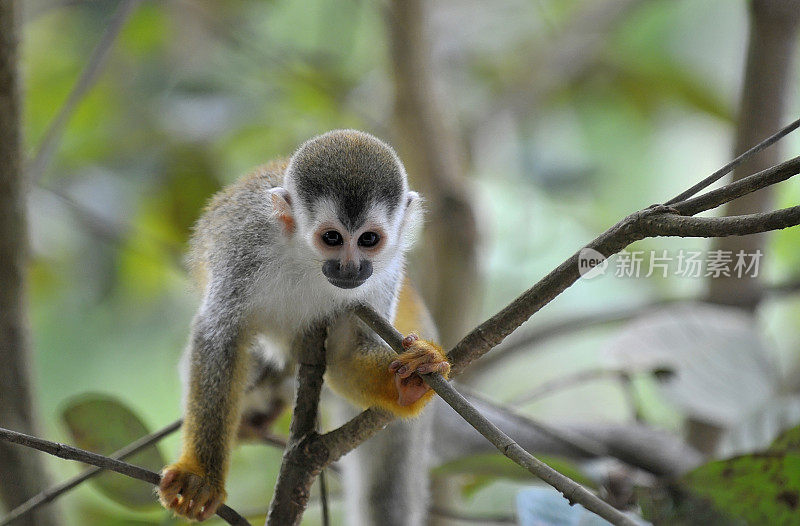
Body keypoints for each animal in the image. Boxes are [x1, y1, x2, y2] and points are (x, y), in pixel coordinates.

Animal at [159, 130, 446, 520]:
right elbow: (220, 337)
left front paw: (411, 379)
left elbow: (345, 354)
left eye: (368, 239)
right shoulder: (245, 250)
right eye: (332, 238)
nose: (350, 268)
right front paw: (199, 478)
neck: (305, 259)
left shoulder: (385, 275)